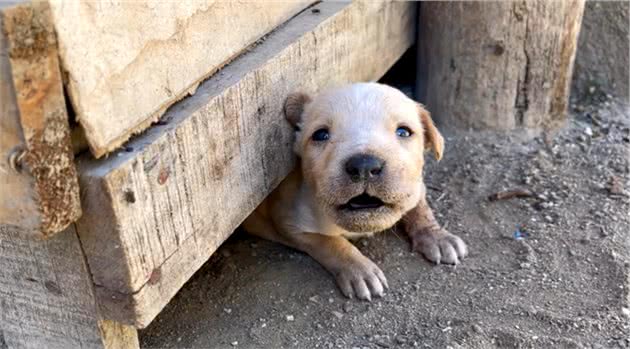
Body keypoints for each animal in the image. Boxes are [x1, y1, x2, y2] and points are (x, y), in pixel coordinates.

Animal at [244, 82, 466, 300]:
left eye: (403, 132)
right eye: (320, 135)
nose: (365, 165)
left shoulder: (414, 185)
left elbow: (420, 208)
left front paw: (438, 237)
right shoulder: (290, 223)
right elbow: (330, 243)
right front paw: (360, 271)